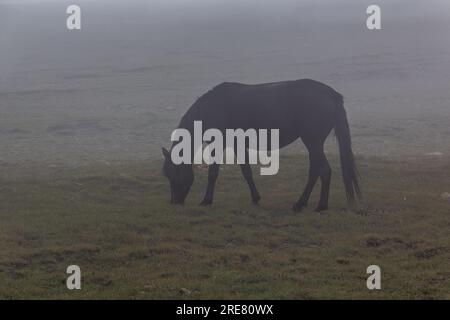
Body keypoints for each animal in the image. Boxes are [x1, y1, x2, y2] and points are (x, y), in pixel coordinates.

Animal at [163, 79, 360, 211]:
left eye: (173, 173)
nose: (174, 202)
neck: (212, 107)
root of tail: (330, 94)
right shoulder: (237, 144)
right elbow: (246, 171)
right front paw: (256, 198)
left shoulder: (218, 145)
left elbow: (213, 173)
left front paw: (206, 200)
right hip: (314, 143)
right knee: (319, 171)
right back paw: (310, 203)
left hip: (313, 142)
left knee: (321, 170)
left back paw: (312, 205)